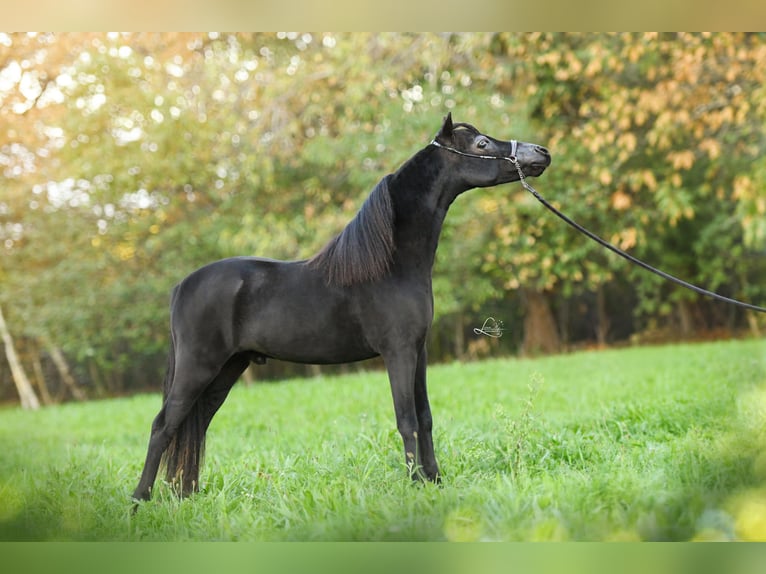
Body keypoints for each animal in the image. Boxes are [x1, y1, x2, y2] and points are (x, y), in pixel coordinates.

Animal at [132, 112, 551, 503]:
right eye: (482, 144)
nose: (541, 153)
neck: (392, 263)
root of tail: (182, 286)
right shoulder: (398, 352)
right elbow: (407, 420)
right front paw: (416, 485)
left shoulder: (419, 352)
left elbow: (426, 418)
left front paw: (434, 481)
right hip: (197, 367)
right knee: (162, 426)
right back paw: (140, 500)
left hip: (227, 369)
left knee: (196, 423)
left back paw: (186, 495)